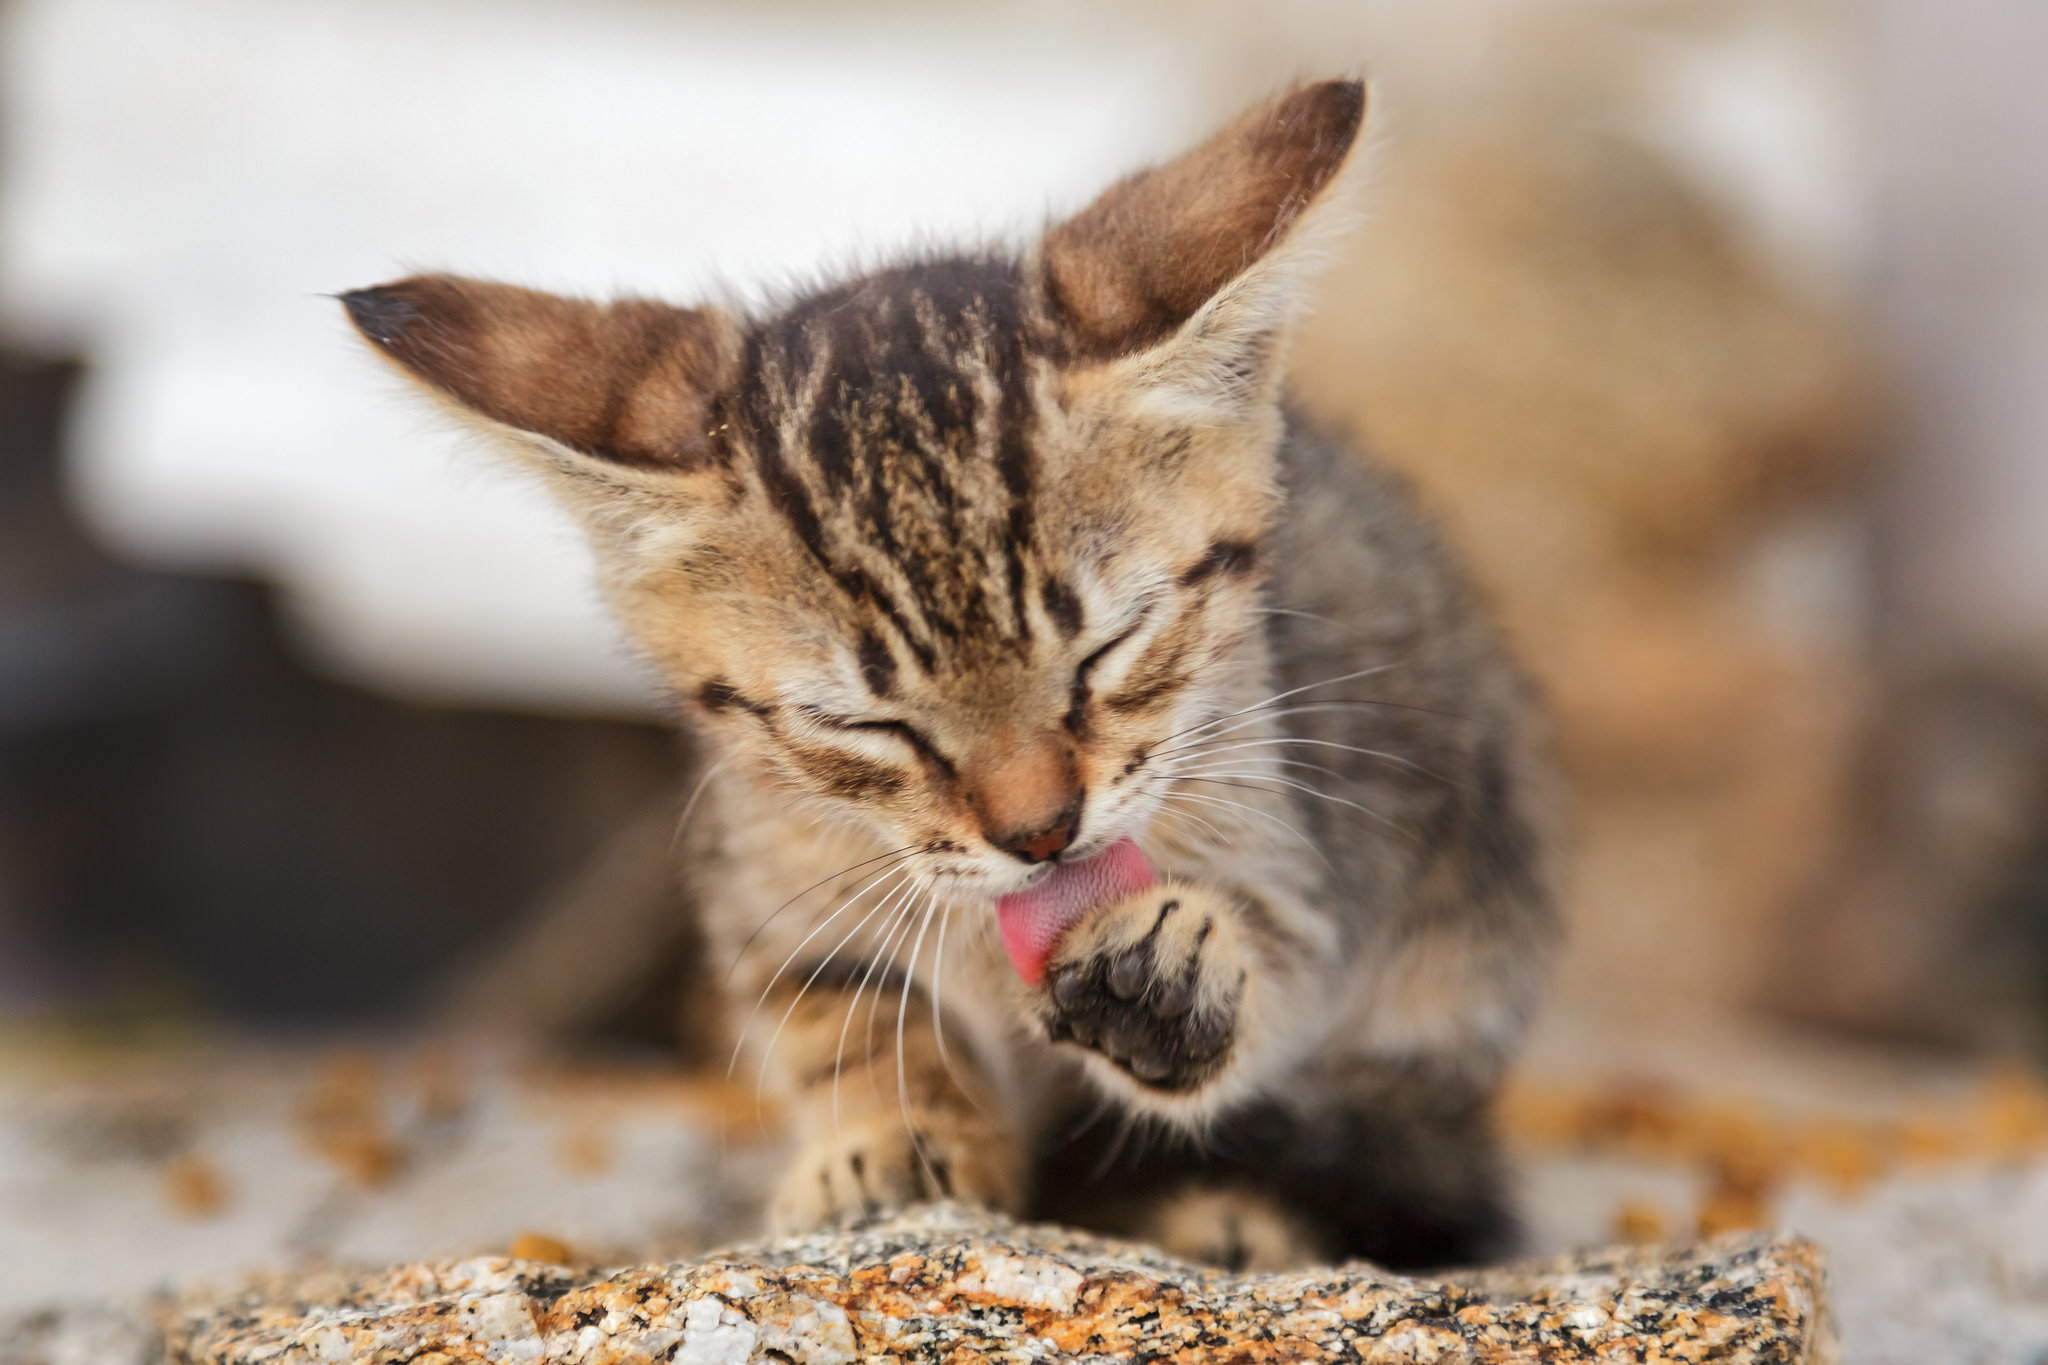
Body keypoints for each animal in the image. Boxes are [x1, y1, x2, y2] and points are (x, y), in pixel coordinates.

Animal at [344, 77, 1548, 1268]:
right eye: (865, 724)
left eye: (1107, 649)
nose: (1040, 834)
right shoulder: (762, 875)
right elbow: (839, 1011)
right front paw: (888, 1138)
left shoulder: (1300, 835)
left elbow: (1282, 965)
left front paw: (1177, 972)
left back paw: (1234, 1211)